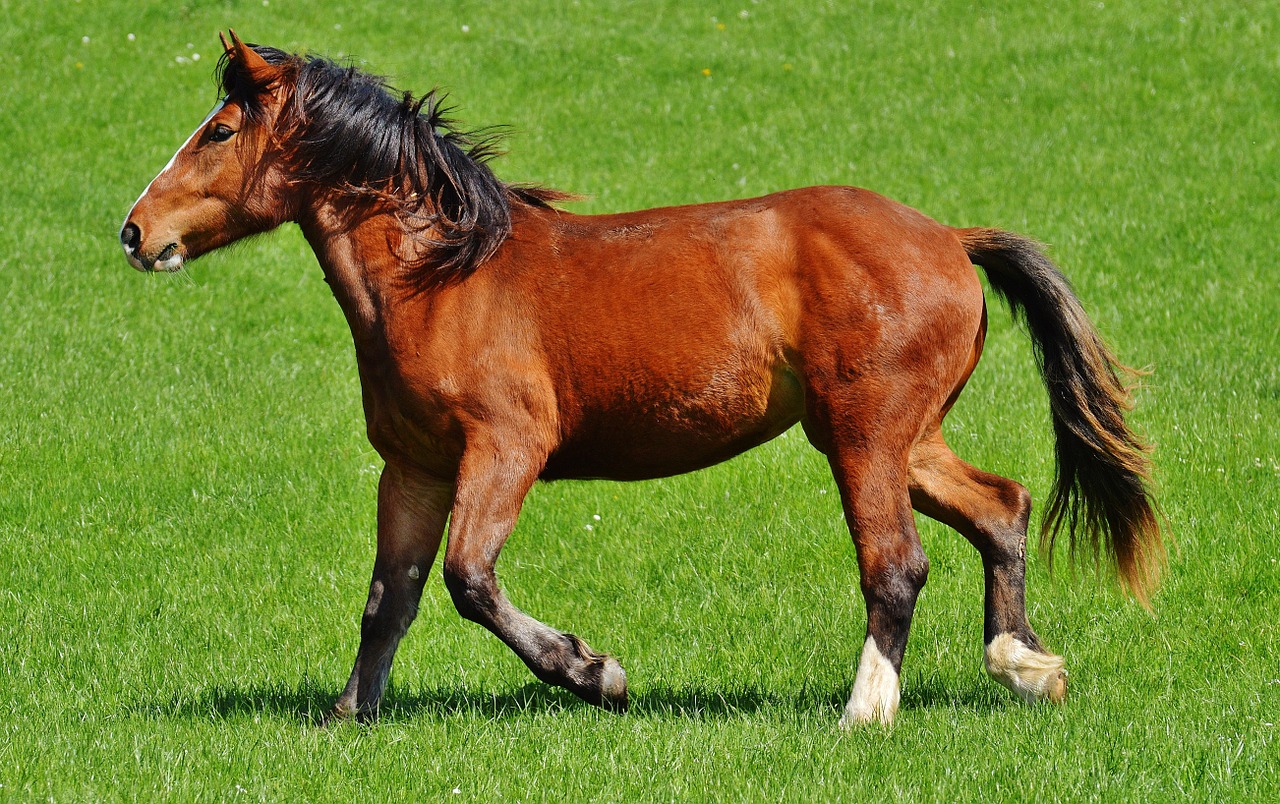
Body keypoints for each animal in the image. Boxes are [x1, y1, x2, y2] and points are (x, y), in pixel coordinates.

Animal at [117, 31, 1162, 727]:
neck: (443, 278)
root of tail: (948, 237)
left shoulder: (506, 450)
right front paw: (349, 715)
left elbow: (469, 580)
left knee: (897, 565)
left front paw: (595, 672)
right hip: (901, 436)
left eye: (218, 132)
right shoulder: (413, 467)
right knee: (1002, 508)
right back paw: (1026, 665)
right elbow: (391, 598)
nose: (134, 231)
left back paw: (865, 713)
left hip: (864, 435)